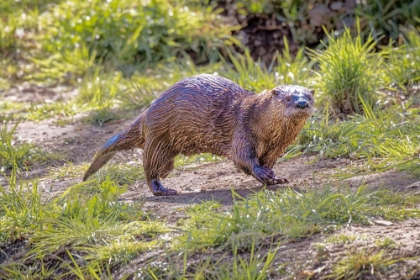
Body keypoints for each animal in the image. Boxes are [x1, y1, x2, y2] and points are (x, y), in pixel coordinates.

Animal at [82, 73, 314, 196]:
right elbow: (244, 160)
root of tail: (147, 113)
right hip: (158, 139)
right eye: (287, 98)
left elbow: (267, 162)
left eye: (308, 97)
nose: (302, 103)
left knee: (162, 168)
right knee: (150, 170)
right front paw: (264, 174)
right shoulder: (243, 132)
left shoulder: (276, 147)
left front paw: (275, 177)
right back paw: (163, 190)